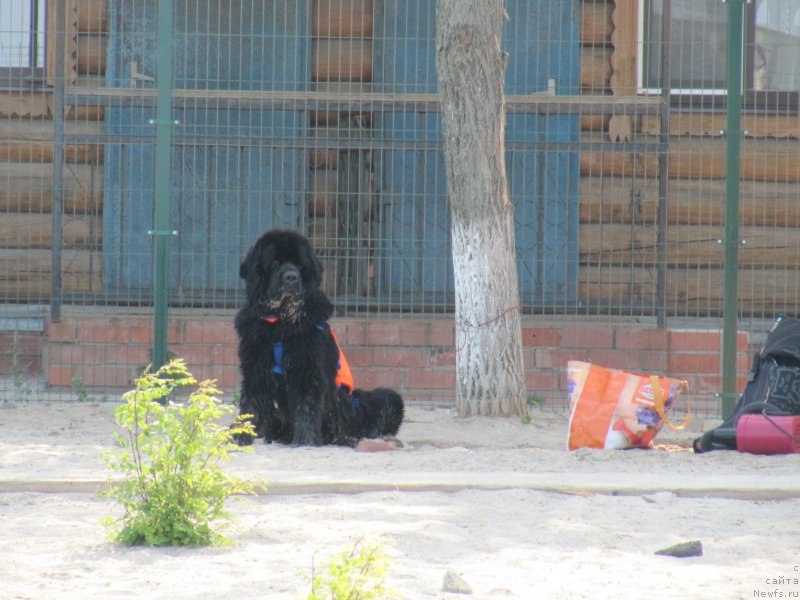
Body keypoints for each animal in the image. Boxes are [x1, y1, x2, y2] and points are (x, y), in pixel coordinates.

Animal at [234, 230, 404, 446]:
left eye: (299, 264)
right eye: (274, 262)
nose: (291, 277)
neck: (281, 323)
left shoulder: (308, 369)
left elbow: (306, 407)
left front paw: (305, 441)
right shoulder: (255, 368)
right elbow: (249, 406)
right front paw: (240, 436)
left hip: (375, 402)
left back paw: (348, 439)